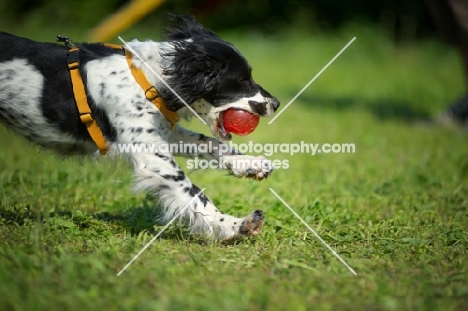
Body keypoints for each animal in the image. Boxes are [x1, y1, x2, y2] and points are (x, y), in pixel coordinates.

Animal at [0, 13, 278, 240]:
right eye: (242, 79)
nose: (275, 103)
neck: (149, 78)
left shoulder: (162, 134)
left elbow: (209, 142)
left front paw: (249, 163)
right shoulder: (151, 155)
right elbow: (193, 193)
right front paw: (234, 225)